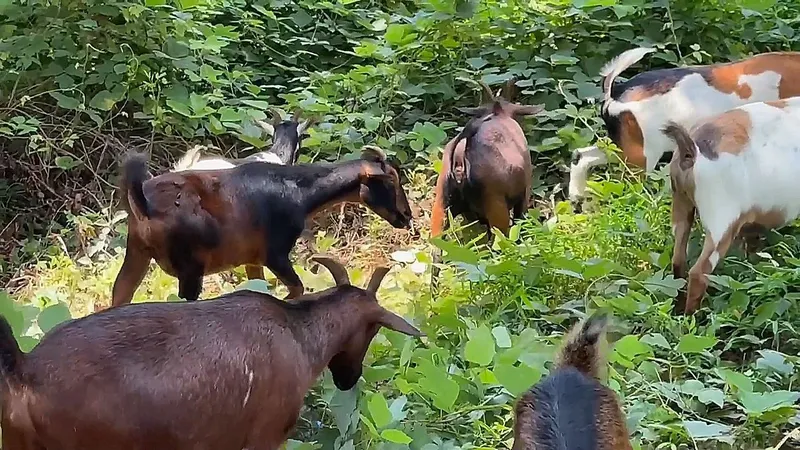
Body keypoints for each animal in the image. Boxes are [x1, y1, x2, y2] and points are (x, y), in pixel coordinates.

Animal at [111, 146, 412, 306]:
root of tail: (144, 202)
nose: (406, 216)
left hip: (138, 252)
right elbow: (296, 289)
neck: (300, 192)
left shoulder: (252, 259)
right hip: (190, 268)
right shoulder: (275, 254)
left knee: (120, 293)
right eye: (390, 181)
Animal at [663, 97, 800, 314]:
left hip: (681, 204)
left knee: (678, 260)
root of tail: (692, 148)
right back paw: (693, 318)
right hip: (721, 217)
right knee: (699, 272)